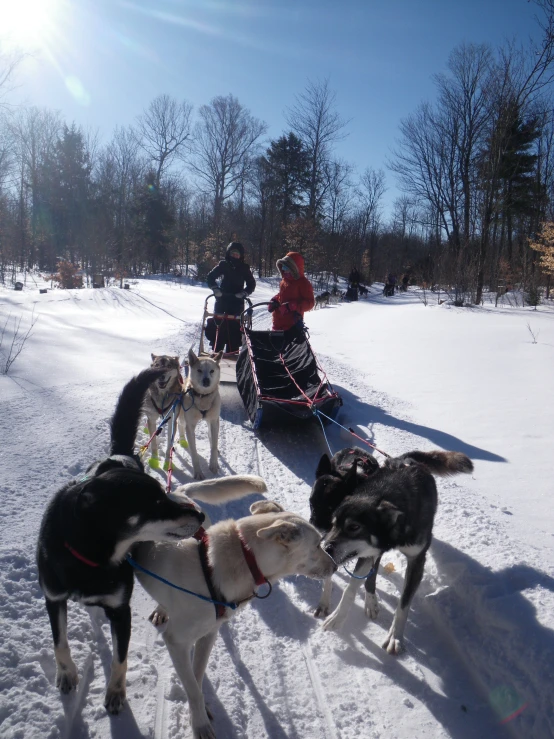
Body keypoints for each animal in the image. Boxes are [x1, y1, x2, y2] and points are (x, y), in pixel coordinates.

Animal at [36, 370, 205, 716]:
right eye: (155, 503)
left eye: (164, 493)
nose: (200, 514)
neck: (88, 557)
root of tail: (120, 454)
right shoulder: (53, 597)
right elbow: (59, 641)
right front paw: (67, 673)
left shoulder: (120, 610)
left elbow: (120, 658)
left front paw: (115, 692)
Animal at [132, 476, 334, 736]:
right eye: (318, 545)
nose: (336, 566)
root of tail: (177, 492)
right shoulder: (176, 641)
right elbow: (193, 689)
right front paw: (200, 723)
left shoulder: (208, 633)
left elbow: (196, 678)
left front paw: (199, 711)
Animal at [308, 450, 472, 652]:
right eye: (334, 523)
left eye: (354, 527)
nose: (324, 548)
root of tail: (407, 460)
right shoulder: (369, 553)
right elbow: (350, 588)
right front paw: (337, 618)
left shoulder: (416, 560)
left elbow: (404, 604)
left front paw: (395, 636)